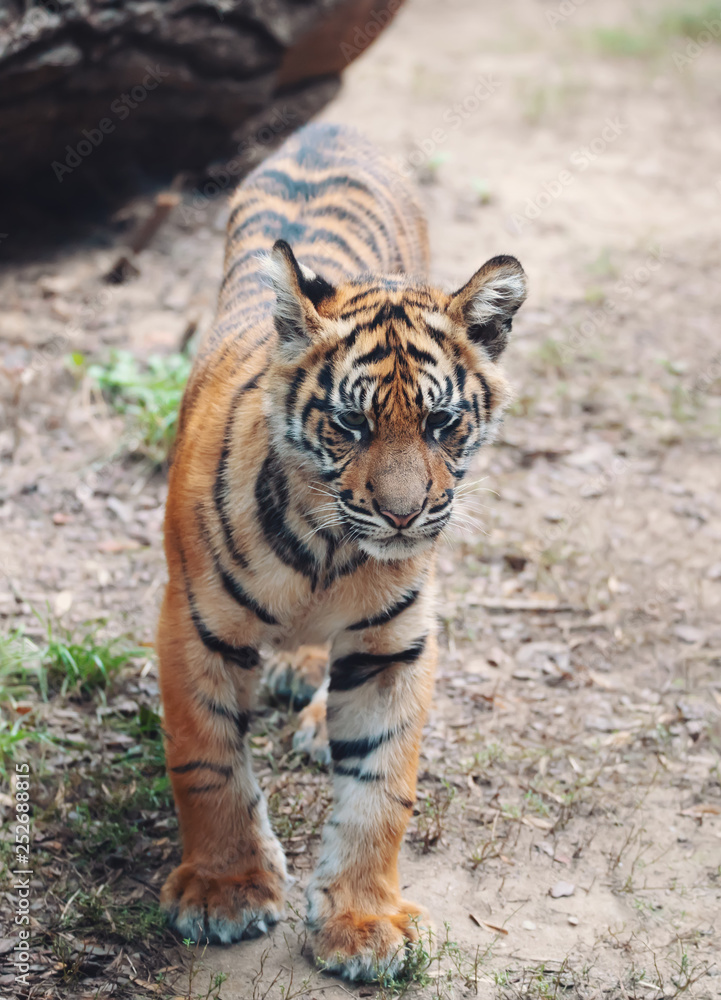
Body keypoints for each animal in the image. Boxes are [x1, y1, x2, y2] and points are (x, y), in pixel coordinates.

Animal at [156, 121, 527, 981]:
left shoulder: (396, 646)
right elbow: (207, 762)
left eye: (440, 423)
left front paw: (362, 923)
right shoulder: (192, 626)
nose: (402, 515)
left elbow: (380, 789)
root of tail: (334, 126)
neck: (327, 550)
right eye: (351, 426)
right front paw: (223, 891)